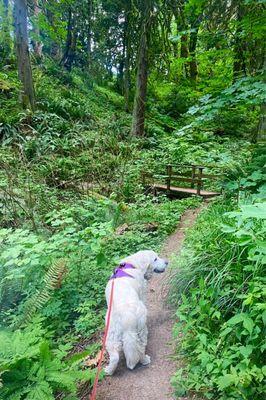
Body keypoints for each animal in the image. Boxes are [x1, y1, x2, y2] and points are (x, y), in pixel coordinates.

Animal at [104, 248, 168, 376]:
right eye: (155, 259)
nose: (167, 262)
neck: (133, 264)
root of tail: (126, 317)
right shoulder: (142, 293)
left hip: (112, 333)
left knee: (115, 357)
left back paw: (109, 371)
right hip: (141, 329)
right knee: (140, 348)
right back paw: (145, 360)